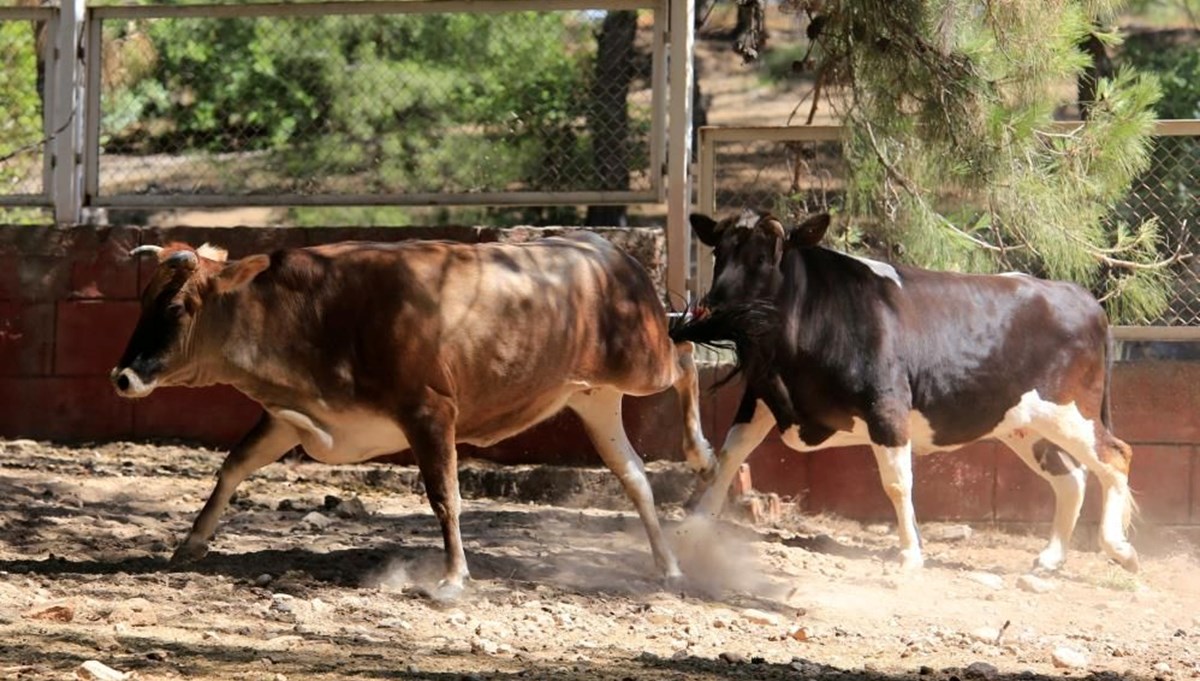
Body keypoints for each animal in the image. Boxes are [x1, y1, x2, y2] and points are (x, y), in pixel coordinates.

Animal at [112, 236, 710, 599]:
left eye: (177, 307)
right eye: (141, 301)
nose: (122, 377)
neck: (318, 311)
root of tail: (608, 249)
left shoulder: (430, 410)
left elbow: (445, 497)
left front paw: (453, 577)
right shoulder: (294, 416)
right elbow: (234, 465)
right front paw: (191, 543)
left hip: (642, 361)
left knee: (684, 359)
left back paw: (701, 454)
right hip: (593, 397)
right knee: (634, 476)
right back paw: (669, 565)